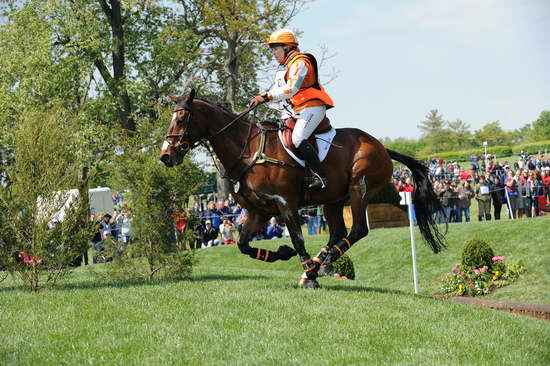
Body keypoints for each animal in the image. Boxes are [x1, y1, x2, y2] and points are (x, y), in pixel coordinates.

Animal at [161, 89, 448, 288]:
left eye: (182, 118)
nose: (165, 156)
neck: (248, 151)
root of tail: (381, 147)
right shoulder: (259, 211)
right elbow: (243, 244)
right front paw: (282, 253)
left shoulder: (285, 204)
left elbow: (298, 238)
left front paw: (307, 273)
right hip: (332, 200)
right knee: (338, 233)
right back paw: (319, 264)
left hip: (359, 189)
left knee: (358, 230)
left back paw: (319, 267)